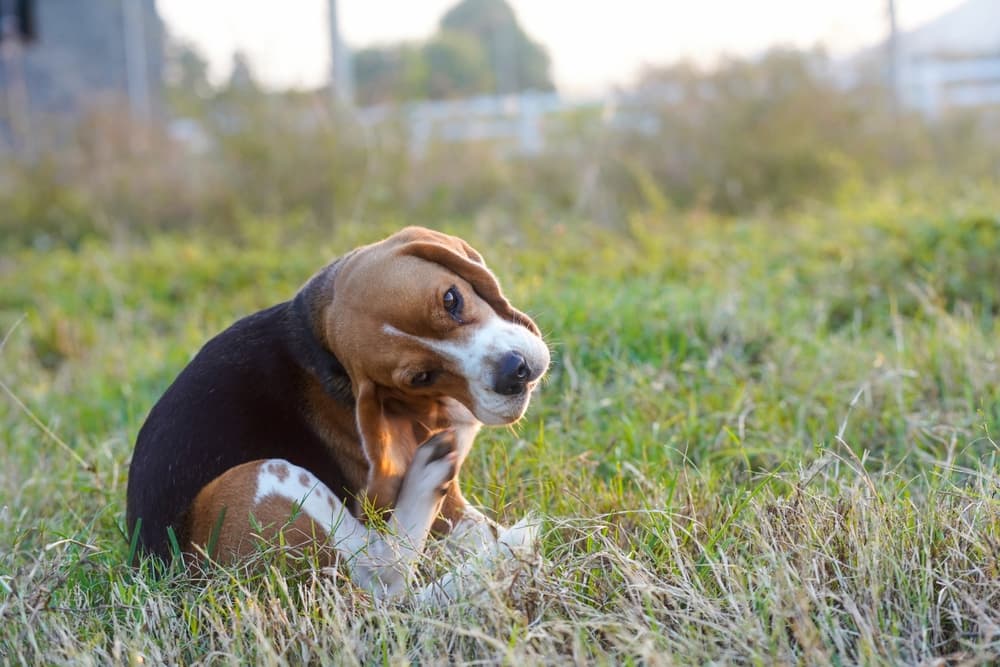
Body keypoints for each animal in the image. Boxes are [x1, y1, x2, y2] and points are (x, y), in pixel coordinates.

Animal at [126, 227, 552, 596]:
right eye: (421, 377)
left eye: (452, 299)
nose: (513, 372)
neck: (321, 349)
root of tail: (171, 580)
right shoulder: (449, 508)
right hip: (264, 479)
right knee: (383, 575)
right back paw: (431, 483)